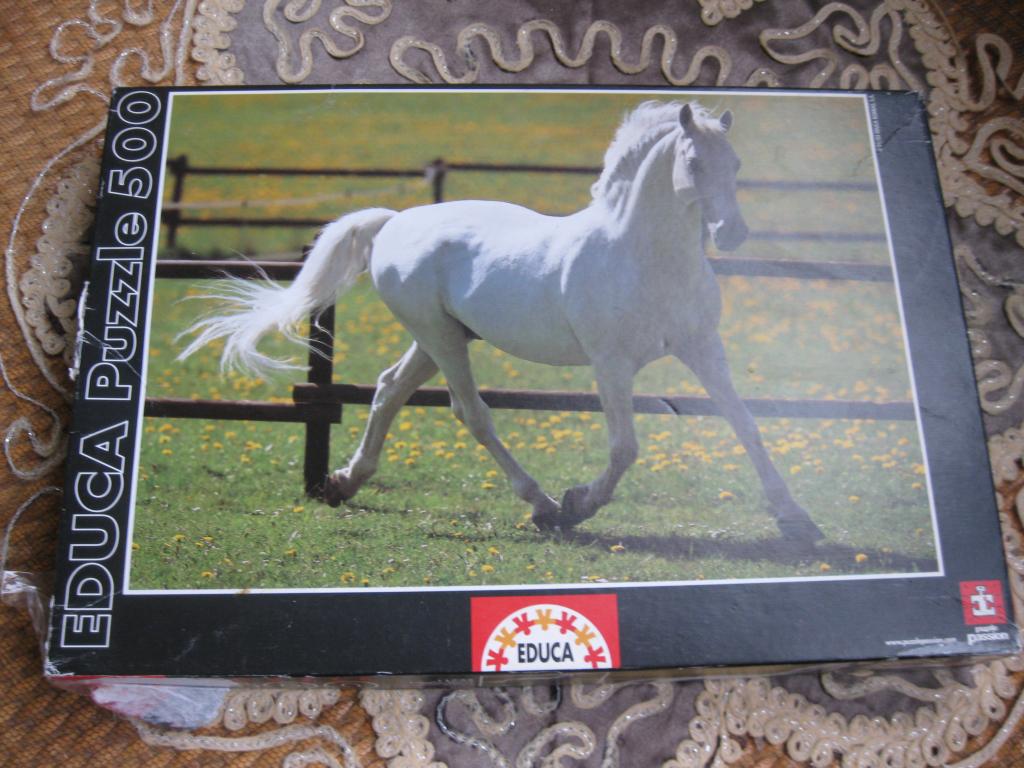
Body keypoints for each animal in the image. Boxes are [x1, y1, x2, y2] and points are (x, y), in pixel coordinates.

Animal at [179, 101, 824, 543]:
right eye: (694, 160)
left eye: (735, 162)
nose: (732, 232)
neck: (645, 256)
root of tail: (393, 221)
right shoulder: (611, 364)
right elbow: (625, 449)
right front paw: (578, 503)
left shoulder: (703, 348)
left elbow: (746, 423)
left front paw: (797, 519)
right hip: (441, 339)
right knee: (471, 412)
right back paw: (541, 506)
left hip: (437, 337)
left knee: (388, 390)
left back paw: (344, 482)